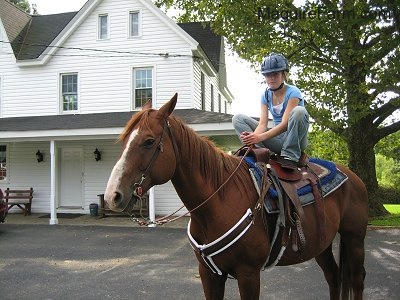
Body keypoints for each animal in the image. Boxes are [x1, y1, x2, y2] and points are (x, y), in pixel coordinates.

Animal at [104, 92, 368, 298]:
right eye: (124, 140)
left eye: (149, 141)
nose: (112, 196)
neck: (218, 203)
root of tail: (354, 177)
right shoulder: (209, 274)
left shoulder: (248, 274)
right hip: (321, 244)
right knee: (333, 276)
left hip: (354, 238)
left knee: (357, 280)